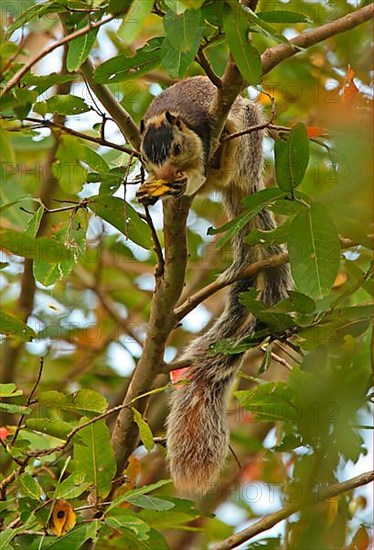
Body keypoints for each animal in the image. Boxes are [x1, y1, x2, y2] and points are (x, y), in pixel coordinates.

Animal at [137, 76, 292, 496]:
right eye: (146, 157)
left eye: (177, 147)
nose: (167, 174)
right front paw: (148, 189)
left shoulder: (205, 134)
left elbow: (199, 174)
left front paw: (183, 182)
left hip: (246, 141)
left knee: (222, 172)